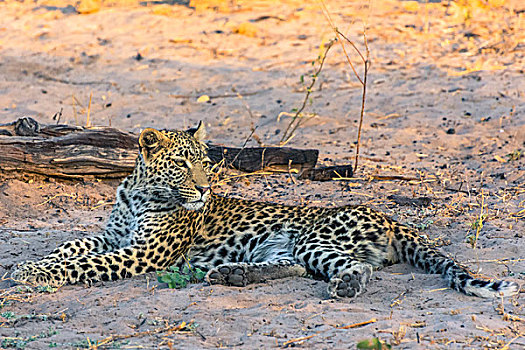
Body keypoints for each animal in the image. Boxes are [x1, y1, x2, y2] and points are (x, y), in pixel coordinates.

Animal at [10, 122, 516, 298]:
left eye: (205, 164)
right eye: (182, 164)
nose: (203, 190)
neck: (138, 193)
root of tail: (388, 216)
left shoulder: (141, 253)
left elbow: (83, 265)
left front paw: (33, 275)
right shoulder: (114, 237)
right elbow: (72, 246)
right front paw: (32, 263)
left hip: (317, 237)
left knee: (357, 269)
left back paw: (346, 288)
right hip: (280, 246)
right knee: (294, 267)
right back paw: (232, 275)